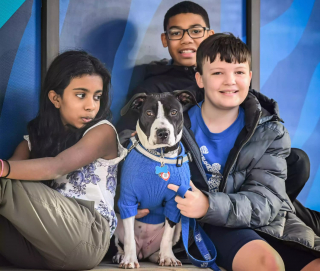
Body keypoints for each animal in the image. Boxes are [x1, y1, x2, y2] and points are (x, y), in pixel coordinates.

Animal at [114, 90, 196, 268]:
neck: (160, 156)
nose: (163, 133)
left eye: (174, 112)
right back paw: (121, 255)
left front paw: (168, 257)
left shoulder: (174, 202)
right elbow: (129, 237)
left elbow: (167, 236)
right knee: (119, 242)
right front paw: (129, 260)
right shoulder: (127, 201)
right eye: (149, 113)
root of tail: (143, 252)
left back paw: (158, 256)